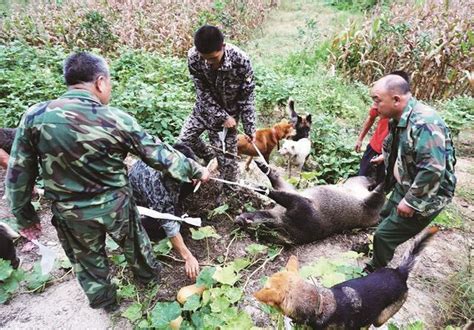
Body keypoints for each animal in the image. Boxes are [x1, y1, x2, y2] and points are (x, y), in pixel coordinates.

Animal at [234, 161, 386, 246]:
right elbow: (278, 184)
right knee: (375, 184)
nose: (238, 220)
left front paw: (257, 185)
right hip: (361, 188)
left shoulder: (301, 205)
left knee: (375, 184)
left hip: (364, 189)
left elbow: (277, 190)